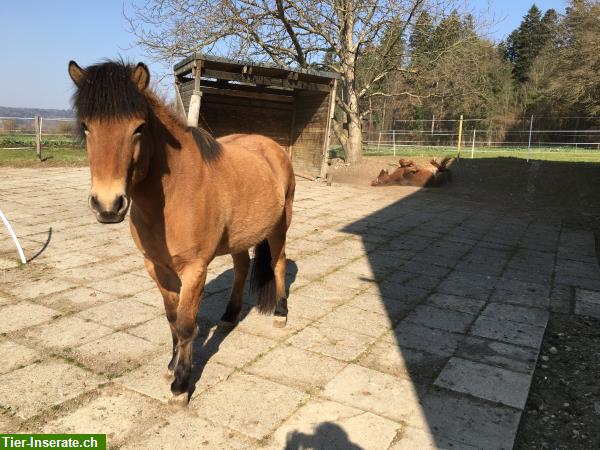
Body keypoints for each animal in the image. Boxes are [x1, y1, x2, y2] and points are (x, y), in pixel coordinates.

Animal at [69, 59, 294, 404]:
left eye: (139, 127)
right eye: (86, 126)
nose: (108, 205)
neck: (176, 190)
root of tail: (271, 147)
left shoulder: (194, 269)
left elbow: (187, 325)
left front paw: (181, 385)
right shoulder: (157, 268)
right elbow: (172, 320)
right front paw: (171, 366)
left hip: (281, 224)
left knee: (278, 263)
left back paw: (281, 313)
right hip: (239, 237)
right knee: (242, 268)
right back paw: (229, 316)